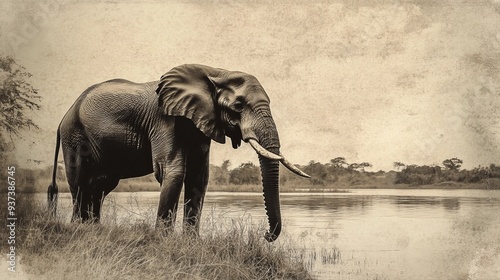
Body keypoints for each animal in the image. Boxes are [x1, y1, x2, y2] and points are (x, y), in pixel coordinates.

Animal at [47, 63, 308, 241]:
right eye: (238, 106)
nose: (265, 235)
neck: (215, 72)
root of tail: (62, 118)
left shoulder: (202, 124)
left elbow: (198, 178)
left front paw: (192, 242)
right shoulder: (164, 120)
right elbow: (173, 172)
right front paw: (163, 240)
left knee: (100, 186)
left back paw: (94, 228)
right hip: (74, 137)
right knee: (80, 184)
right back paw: (79, 228)